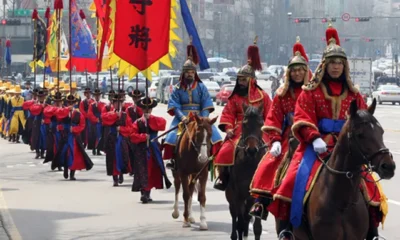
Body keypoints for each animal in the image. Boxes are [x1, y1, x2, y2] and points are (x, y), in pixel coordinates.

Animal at [227, 104, 268, 240]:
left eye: (261, 124)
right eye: (244, 124)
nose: (251, 150)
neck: (250, 162)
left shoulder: (253, 195)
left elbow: (256, 226)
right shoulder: (238, 194)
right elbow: (239, 221)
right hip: (231, 194)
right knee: (235, 214)